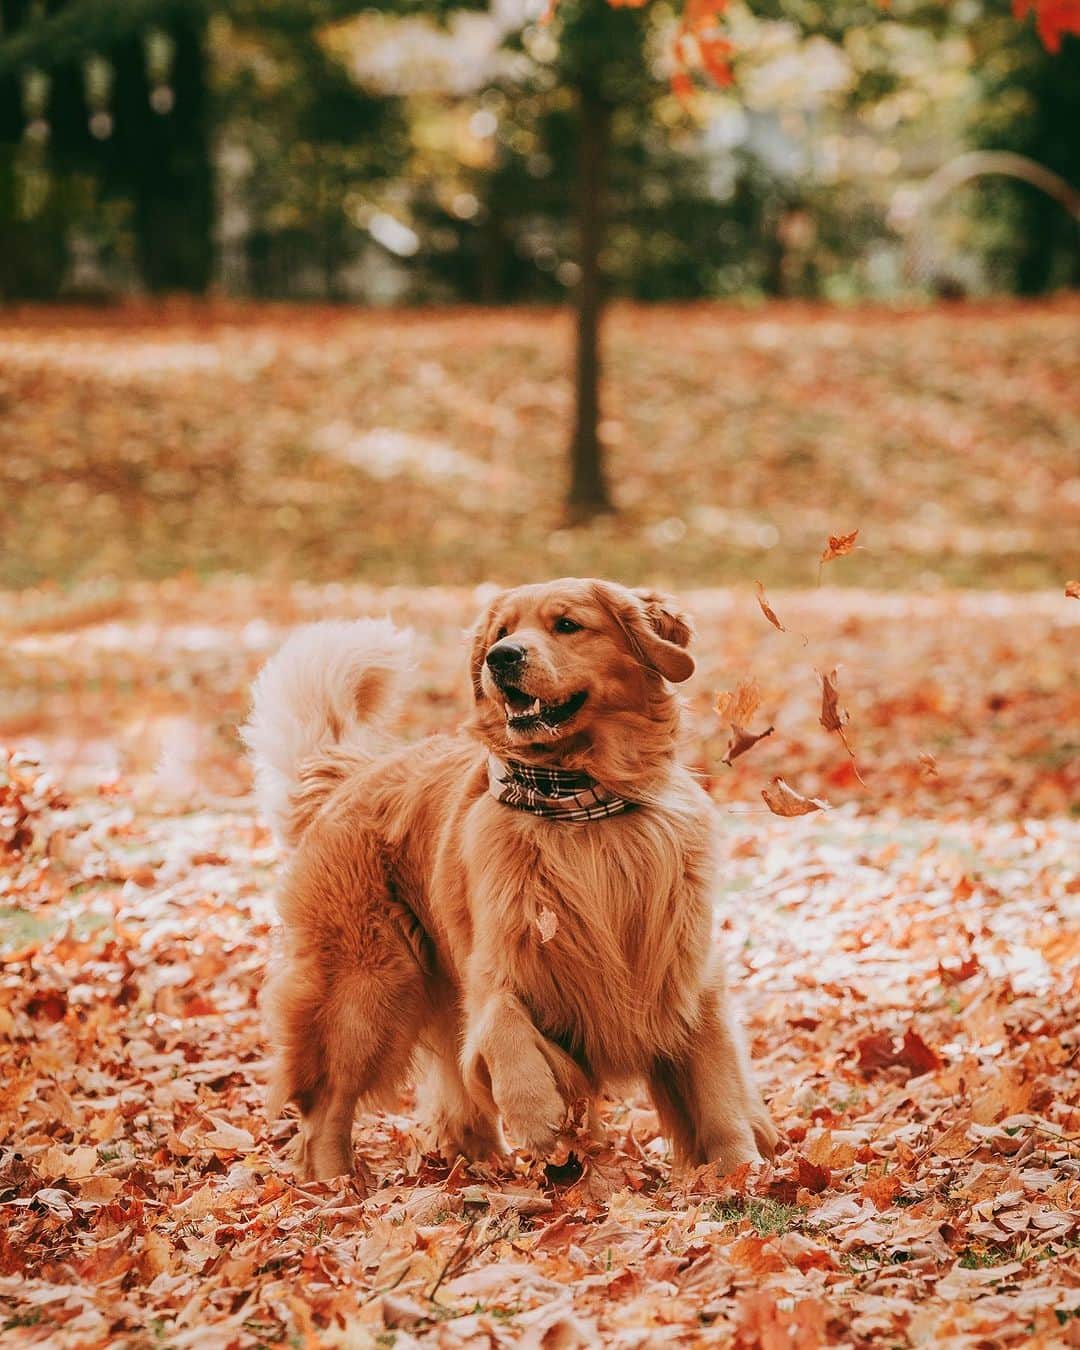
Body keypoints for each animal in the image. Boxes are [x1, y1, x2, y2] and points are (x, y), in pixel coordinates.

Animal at [247, 580, 777, 1182]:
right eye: (501, 633)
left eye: (567, 625)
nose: (501, 659)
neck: (580, 805)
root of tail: (348, 776)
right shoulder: (497, 958)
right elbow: (501, 1022)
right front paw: (536, 1110)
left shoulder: (687, 975)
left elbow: (719, 1092)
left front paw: (740, 1171)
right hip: (367, 985)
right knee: (325, 1108)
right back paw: (337, 1186)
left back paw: (487, 1166)